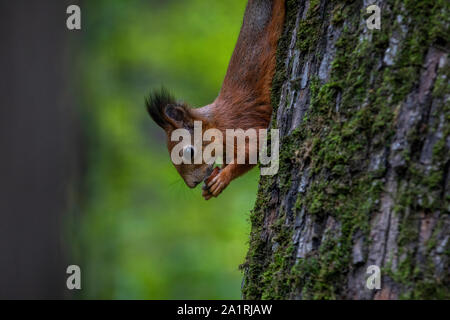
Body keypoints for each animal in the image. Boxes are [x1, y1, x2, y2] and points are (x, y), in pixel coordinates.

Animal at [146, 0, 284, 200]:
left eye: (189, 152)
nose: (192, 185)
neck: (215, 124)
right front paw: (211, 183)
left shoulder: (239, 128)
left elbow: (255, 147)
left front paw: (222, 178)